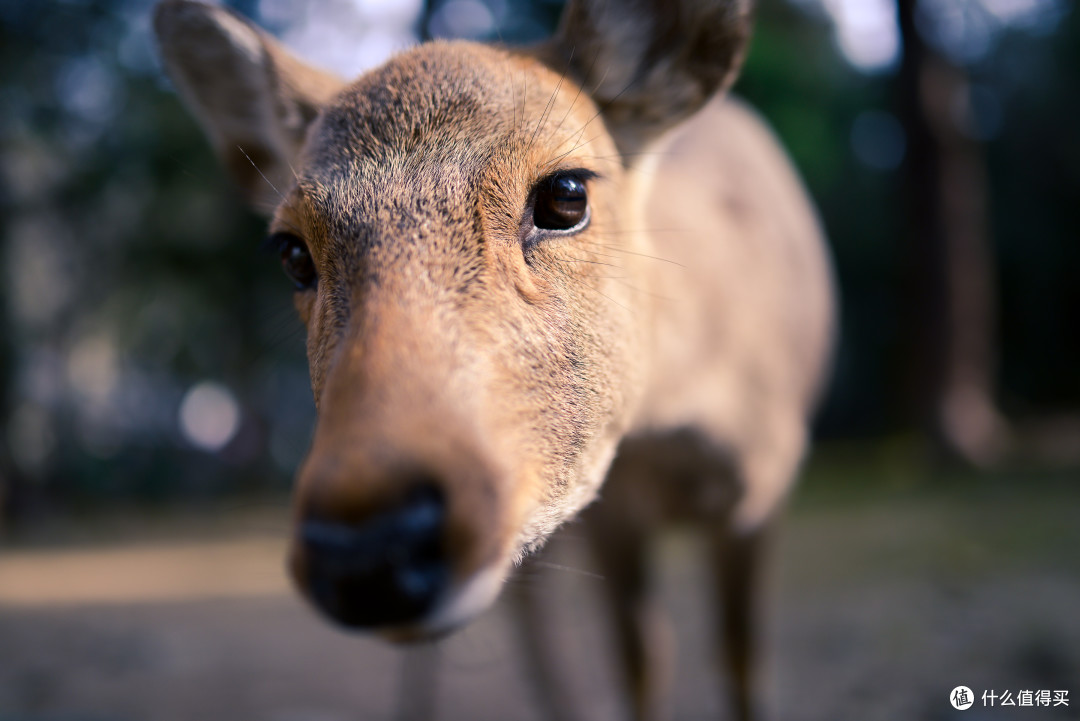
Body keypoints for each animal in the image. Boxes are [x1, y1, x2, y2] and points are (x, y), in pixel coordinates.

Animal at [153, 1, 835, 719]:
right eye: (291, 252)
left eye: (566, 193)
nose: (364, 550)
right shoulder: (615, 513)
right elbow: (642, 661)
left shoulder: (767, 485)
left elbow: (739, 660)